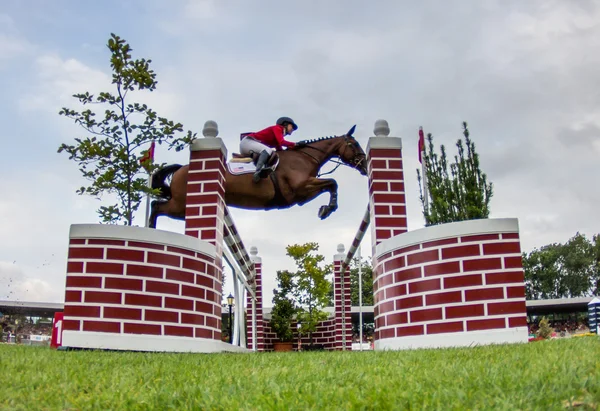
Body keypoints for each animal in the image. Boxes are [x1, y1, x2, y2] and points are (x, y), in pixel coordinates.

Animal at [148, 124, 368, 230]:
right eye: (354, 144)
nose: (366, 166)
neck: (305, 157)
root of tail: (181, 169)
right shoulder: (300, 188)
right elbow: (333, 183)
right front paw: (327, 209)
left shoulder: (302, 196)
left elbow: (330, 185)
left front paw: (326, 209)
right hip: (181, 205)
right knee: (156, 206)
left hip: (182, 207)